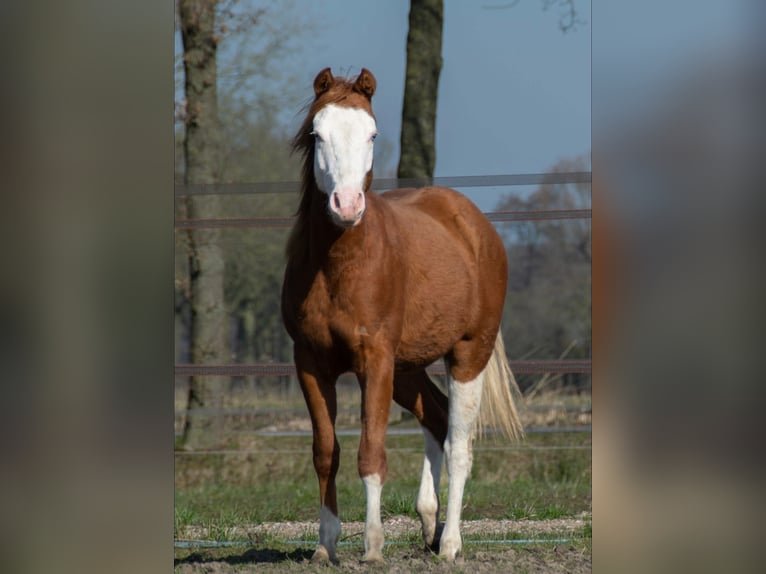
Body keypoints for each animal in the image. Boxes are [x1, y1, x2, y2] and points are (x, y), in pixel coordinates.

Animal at [281, 67, 524, 563]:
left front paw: (372, 547)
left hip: (468, 355)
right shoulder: (311, 364)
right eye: (317, 134)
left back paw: (450, 544)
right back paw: (429, 524)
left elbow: (371, 454)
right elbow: (325, 453)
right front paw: (325, 546)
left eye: (372, 134)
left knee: (459, 444)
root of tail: (474, 223)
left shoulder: (375, 361)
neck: (339, 268)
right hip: (408, 368)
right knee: (436, 417)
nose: (346, 205)